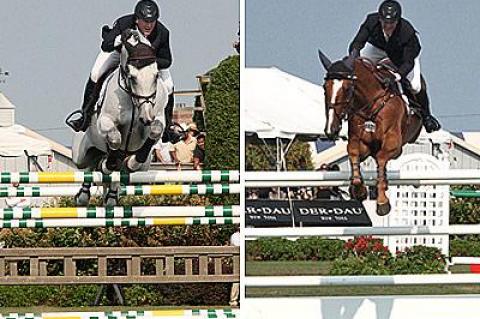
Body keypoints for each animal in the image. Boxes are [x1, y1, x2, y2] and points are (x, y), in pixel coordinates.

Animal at [70, 30, 169, 208]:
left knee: (115, 171)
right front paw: (107, 164)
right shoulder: (106, 122)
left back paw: (111, 195)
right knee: (89, 166)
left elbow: (155, 130)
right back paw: (84, 194)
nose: (146, 117)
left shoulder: (156, 117)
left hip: (145, 166)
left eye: (156, 75)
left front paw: (132, 162)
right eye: (132, 76)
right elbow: (115, 139)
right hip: (80, 155)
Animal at [318, 50, 424, 216]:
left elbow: (381, 158)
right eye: (324, 88)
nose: (331, 130)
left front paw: (382, 202)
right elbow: (353, 152)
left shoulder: (394, 145)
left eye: (347, 89)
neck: (371, 104)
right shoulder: (361, 143)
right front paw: (359, 190)